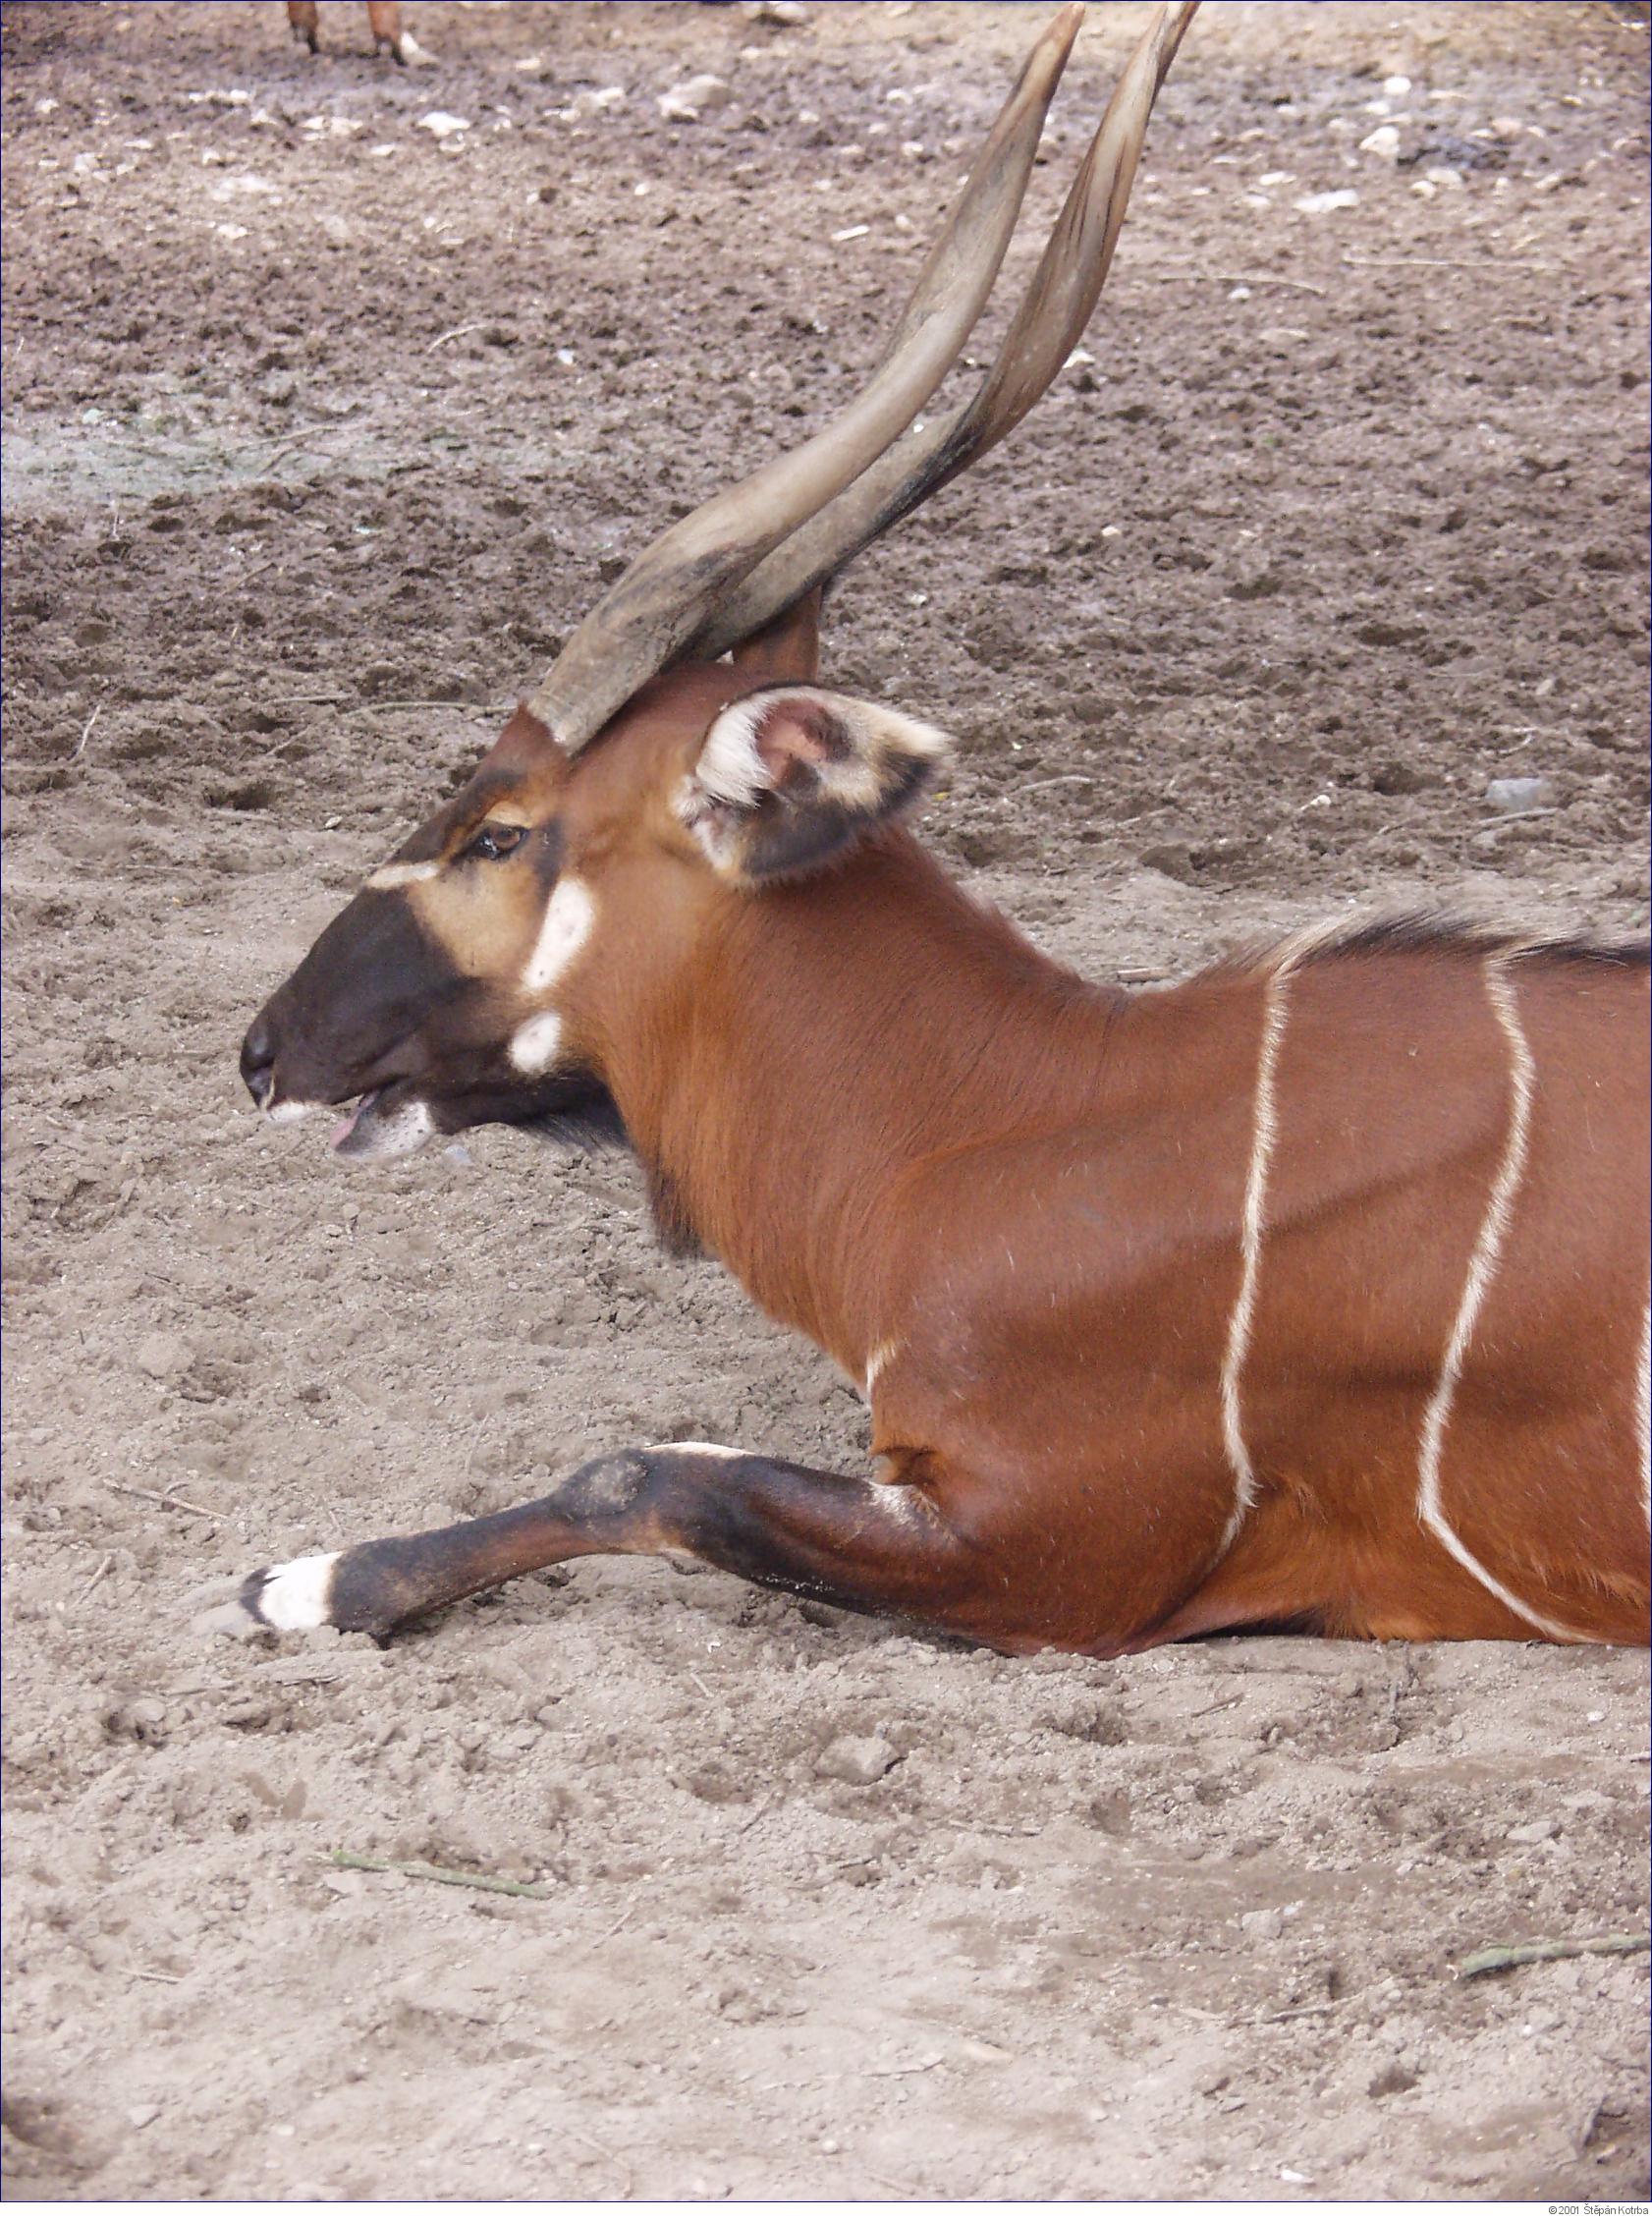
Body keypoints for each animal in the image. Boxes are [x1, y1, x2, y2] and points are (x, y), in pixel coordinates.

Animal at [206, 8, 1652, 1661]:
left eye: (501, 837)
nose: (264, 1048)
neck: (1011, 1111)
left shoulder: (1048, 1554)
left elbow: (647, 1472)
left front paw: (312, 1579)